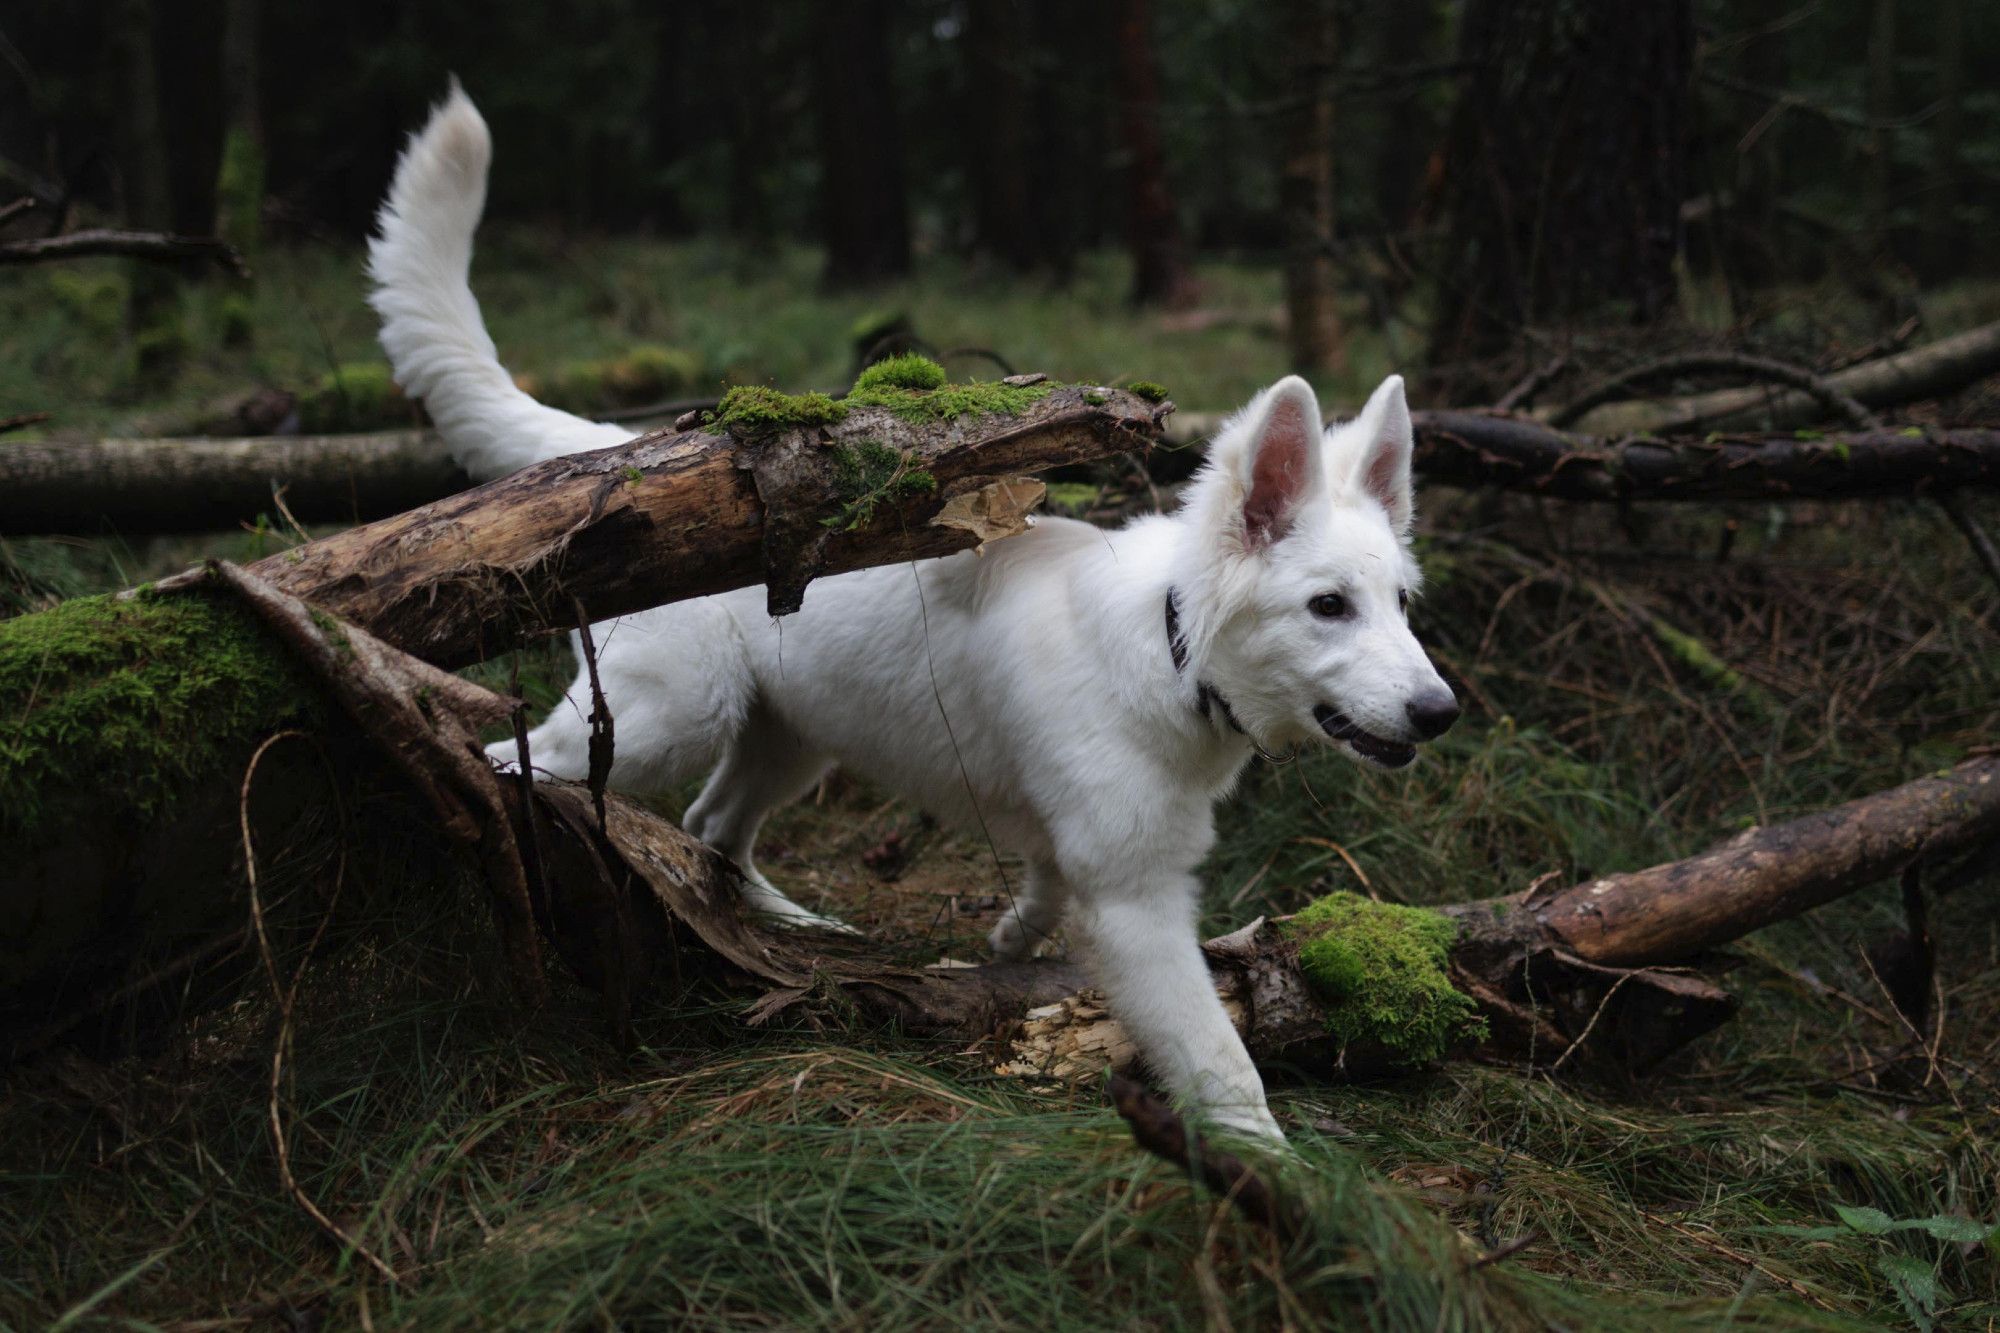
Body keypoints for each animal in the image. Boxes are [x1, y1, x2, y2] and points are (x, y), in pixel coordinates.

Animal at [368, 88, 1456, 1136]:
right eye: (1327, 606)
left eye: (1401, 606)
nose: (1441, 713)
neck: (1168, 644)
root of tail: (623, 454)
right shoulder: (1137, 902)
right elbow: (1222, 1060)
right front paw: (1269, 1170)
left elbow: (1042, 890)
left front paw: (1012, 937)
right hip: (663, 717)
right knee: (519, 764)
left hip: (789, 734)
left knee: (713, 824)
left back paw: (782, 933)